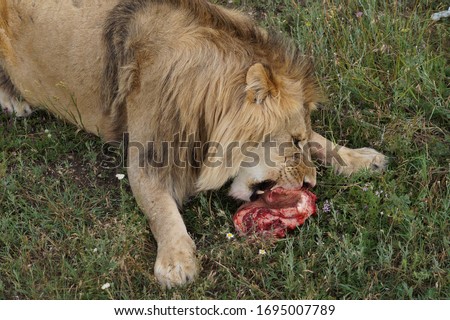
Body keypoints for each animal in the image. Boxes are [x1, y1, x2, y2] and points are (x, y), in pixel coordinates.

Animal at [0, 0, 386, 288]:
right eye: (290, 142)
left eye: (300, 140)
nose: (311, 183)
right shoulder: (147, 158)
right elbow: (161, 210)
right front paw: (176, 261)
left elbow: (324, 140)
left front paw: (360, 158)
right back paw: (15, 101)